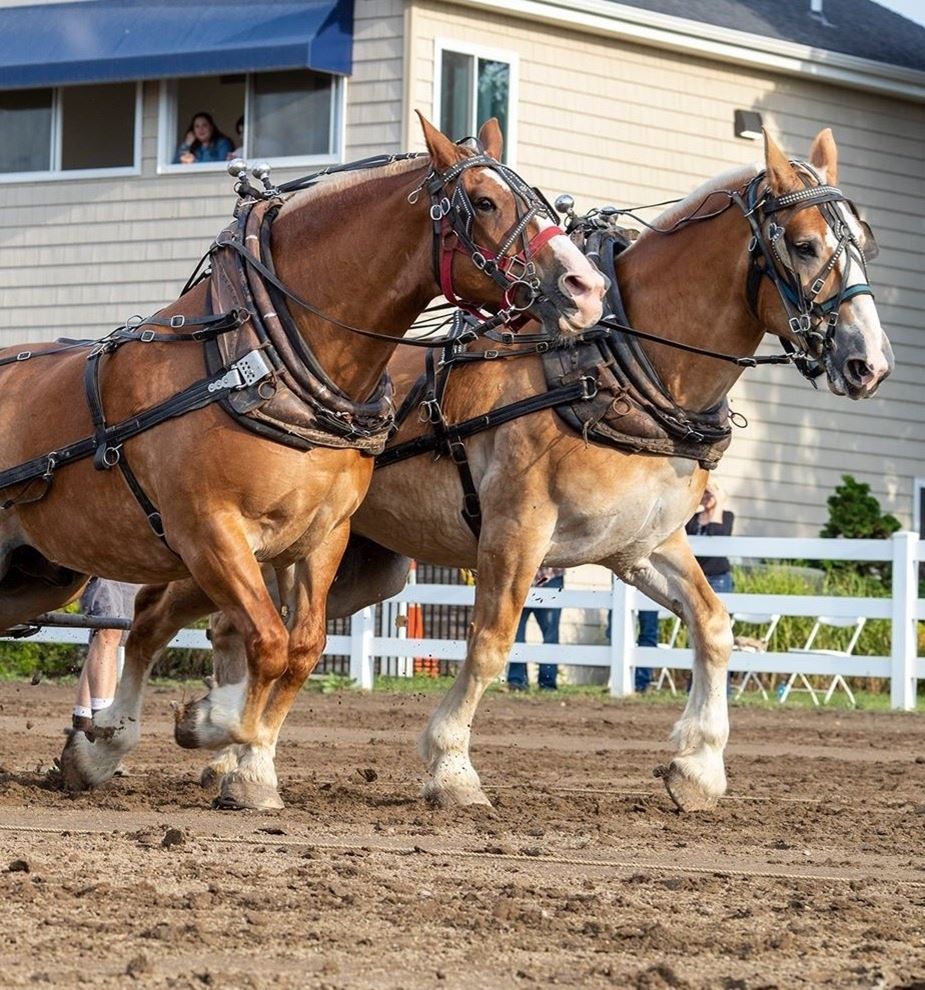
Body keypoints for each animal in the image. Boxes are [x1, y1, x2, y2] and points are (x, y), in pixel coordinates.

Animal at [0, 118, 608, 812]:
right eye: (483, 203)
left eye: (541, 201)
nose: (587, 289)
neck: (251, 360)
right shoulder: (209, 533)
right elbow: (265, 643)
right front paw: (217, 724)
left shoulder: (323, 536)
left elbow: (301, 648)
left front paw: (249, 769)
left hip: (37, 575)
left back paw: (100, 746)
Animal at [206, 126, 892, 812]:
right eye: (804, 244)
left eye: (865, 241)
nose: (870, 363)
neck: (614, 365)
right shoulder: (517, 529)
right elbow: (490, 643)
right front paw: (451, 765)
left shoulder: (644, 544)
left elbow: (714, 623)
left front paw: (697, 765)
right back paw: (232, 744)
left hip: (366, 563)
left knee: (242, 624)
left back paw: (220, 740)